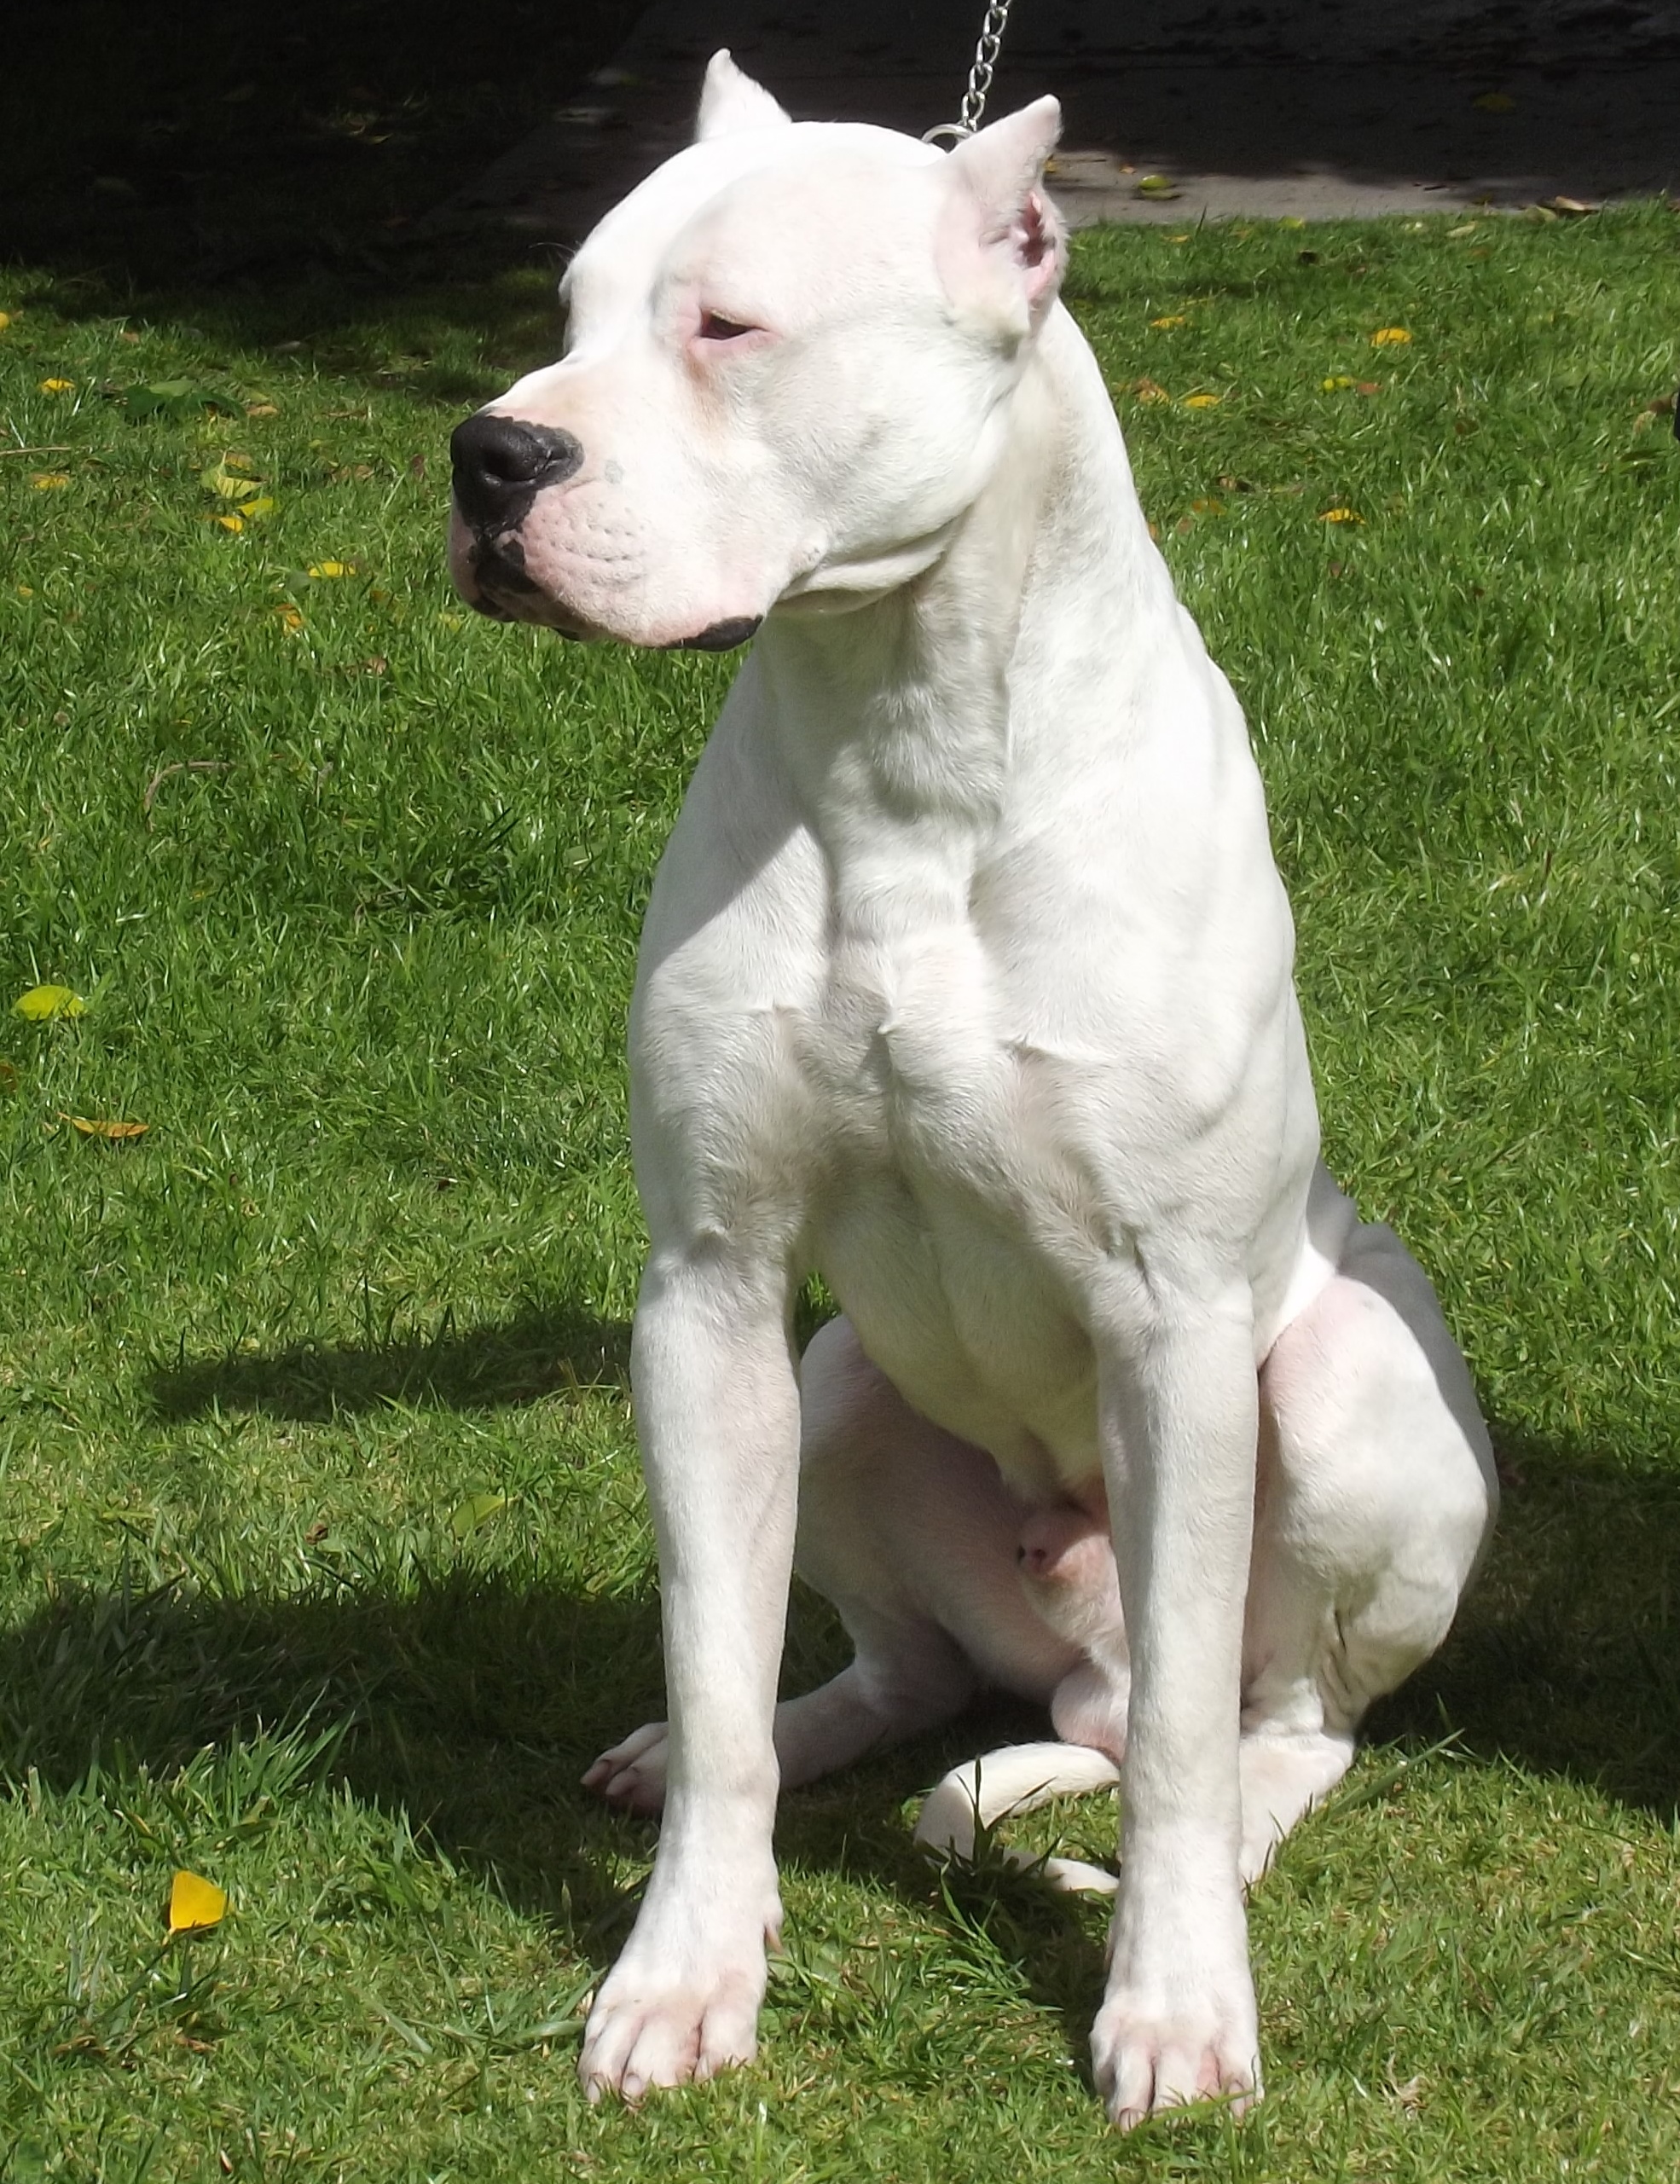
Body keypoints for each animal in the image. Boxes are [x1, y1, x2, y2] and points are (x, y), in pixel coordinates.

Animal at [445, 55, 1494, 2131]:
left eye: (727, 327)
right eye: (566, 311)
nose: (488, 454)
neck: (900, 732)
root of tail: (1066, 1663)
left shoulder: (1175, 1324)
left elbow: (1181, 1759)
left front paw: (1174, 2006)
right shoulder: (708, 1285)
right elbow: (710, 1664)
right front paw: (686, 1964)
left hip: (1335, 1393)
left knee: (1265, 1722)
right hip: (841, 1379)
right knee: (910, 1671)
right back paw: (795, 1733)